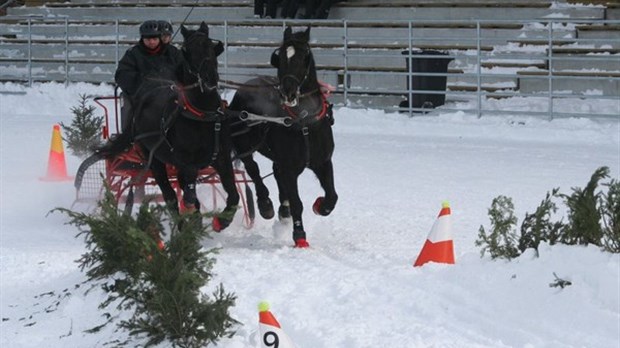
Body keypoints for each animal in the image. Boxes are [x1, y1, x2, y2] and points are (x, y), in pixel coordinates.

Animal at [93, 23, 239, 231]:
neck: (202, 114)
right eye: (187, 51)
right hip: (153, 158)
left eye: (212, 47)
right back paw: (182, 224)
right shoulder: (186, 162)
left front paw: (221, 221)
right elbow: (187, 192)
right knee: (170, 194)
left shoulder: (222, 158)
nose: (210, 77)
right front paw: (194, 219)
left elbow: (233, 194)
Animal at [228, 27, 336, 247]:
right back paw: (265, 204)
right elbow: (297, 203)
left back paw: (282, 211)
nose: (288, 92)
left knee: (275, 174)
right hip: (244, 145)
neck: (305, 121)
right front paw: (299, 235)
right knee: (253, 169)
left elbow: (332, 197)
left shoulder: (323, 161)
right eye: (281, 58)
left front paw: (319, 206)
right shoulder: (289, 167)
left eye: (304, 57)